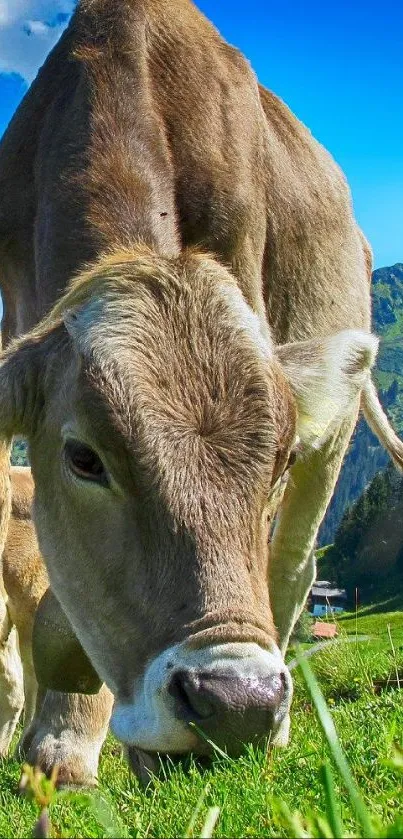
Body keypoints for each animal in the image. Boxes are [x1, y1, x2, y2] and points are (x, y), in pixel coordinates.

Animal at [0, 0, 400, 776]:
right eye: (83, 458)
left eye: (275, 459)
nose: (238, 703)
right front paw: (63, 743)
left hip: (334, 432)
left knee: (293, 565)